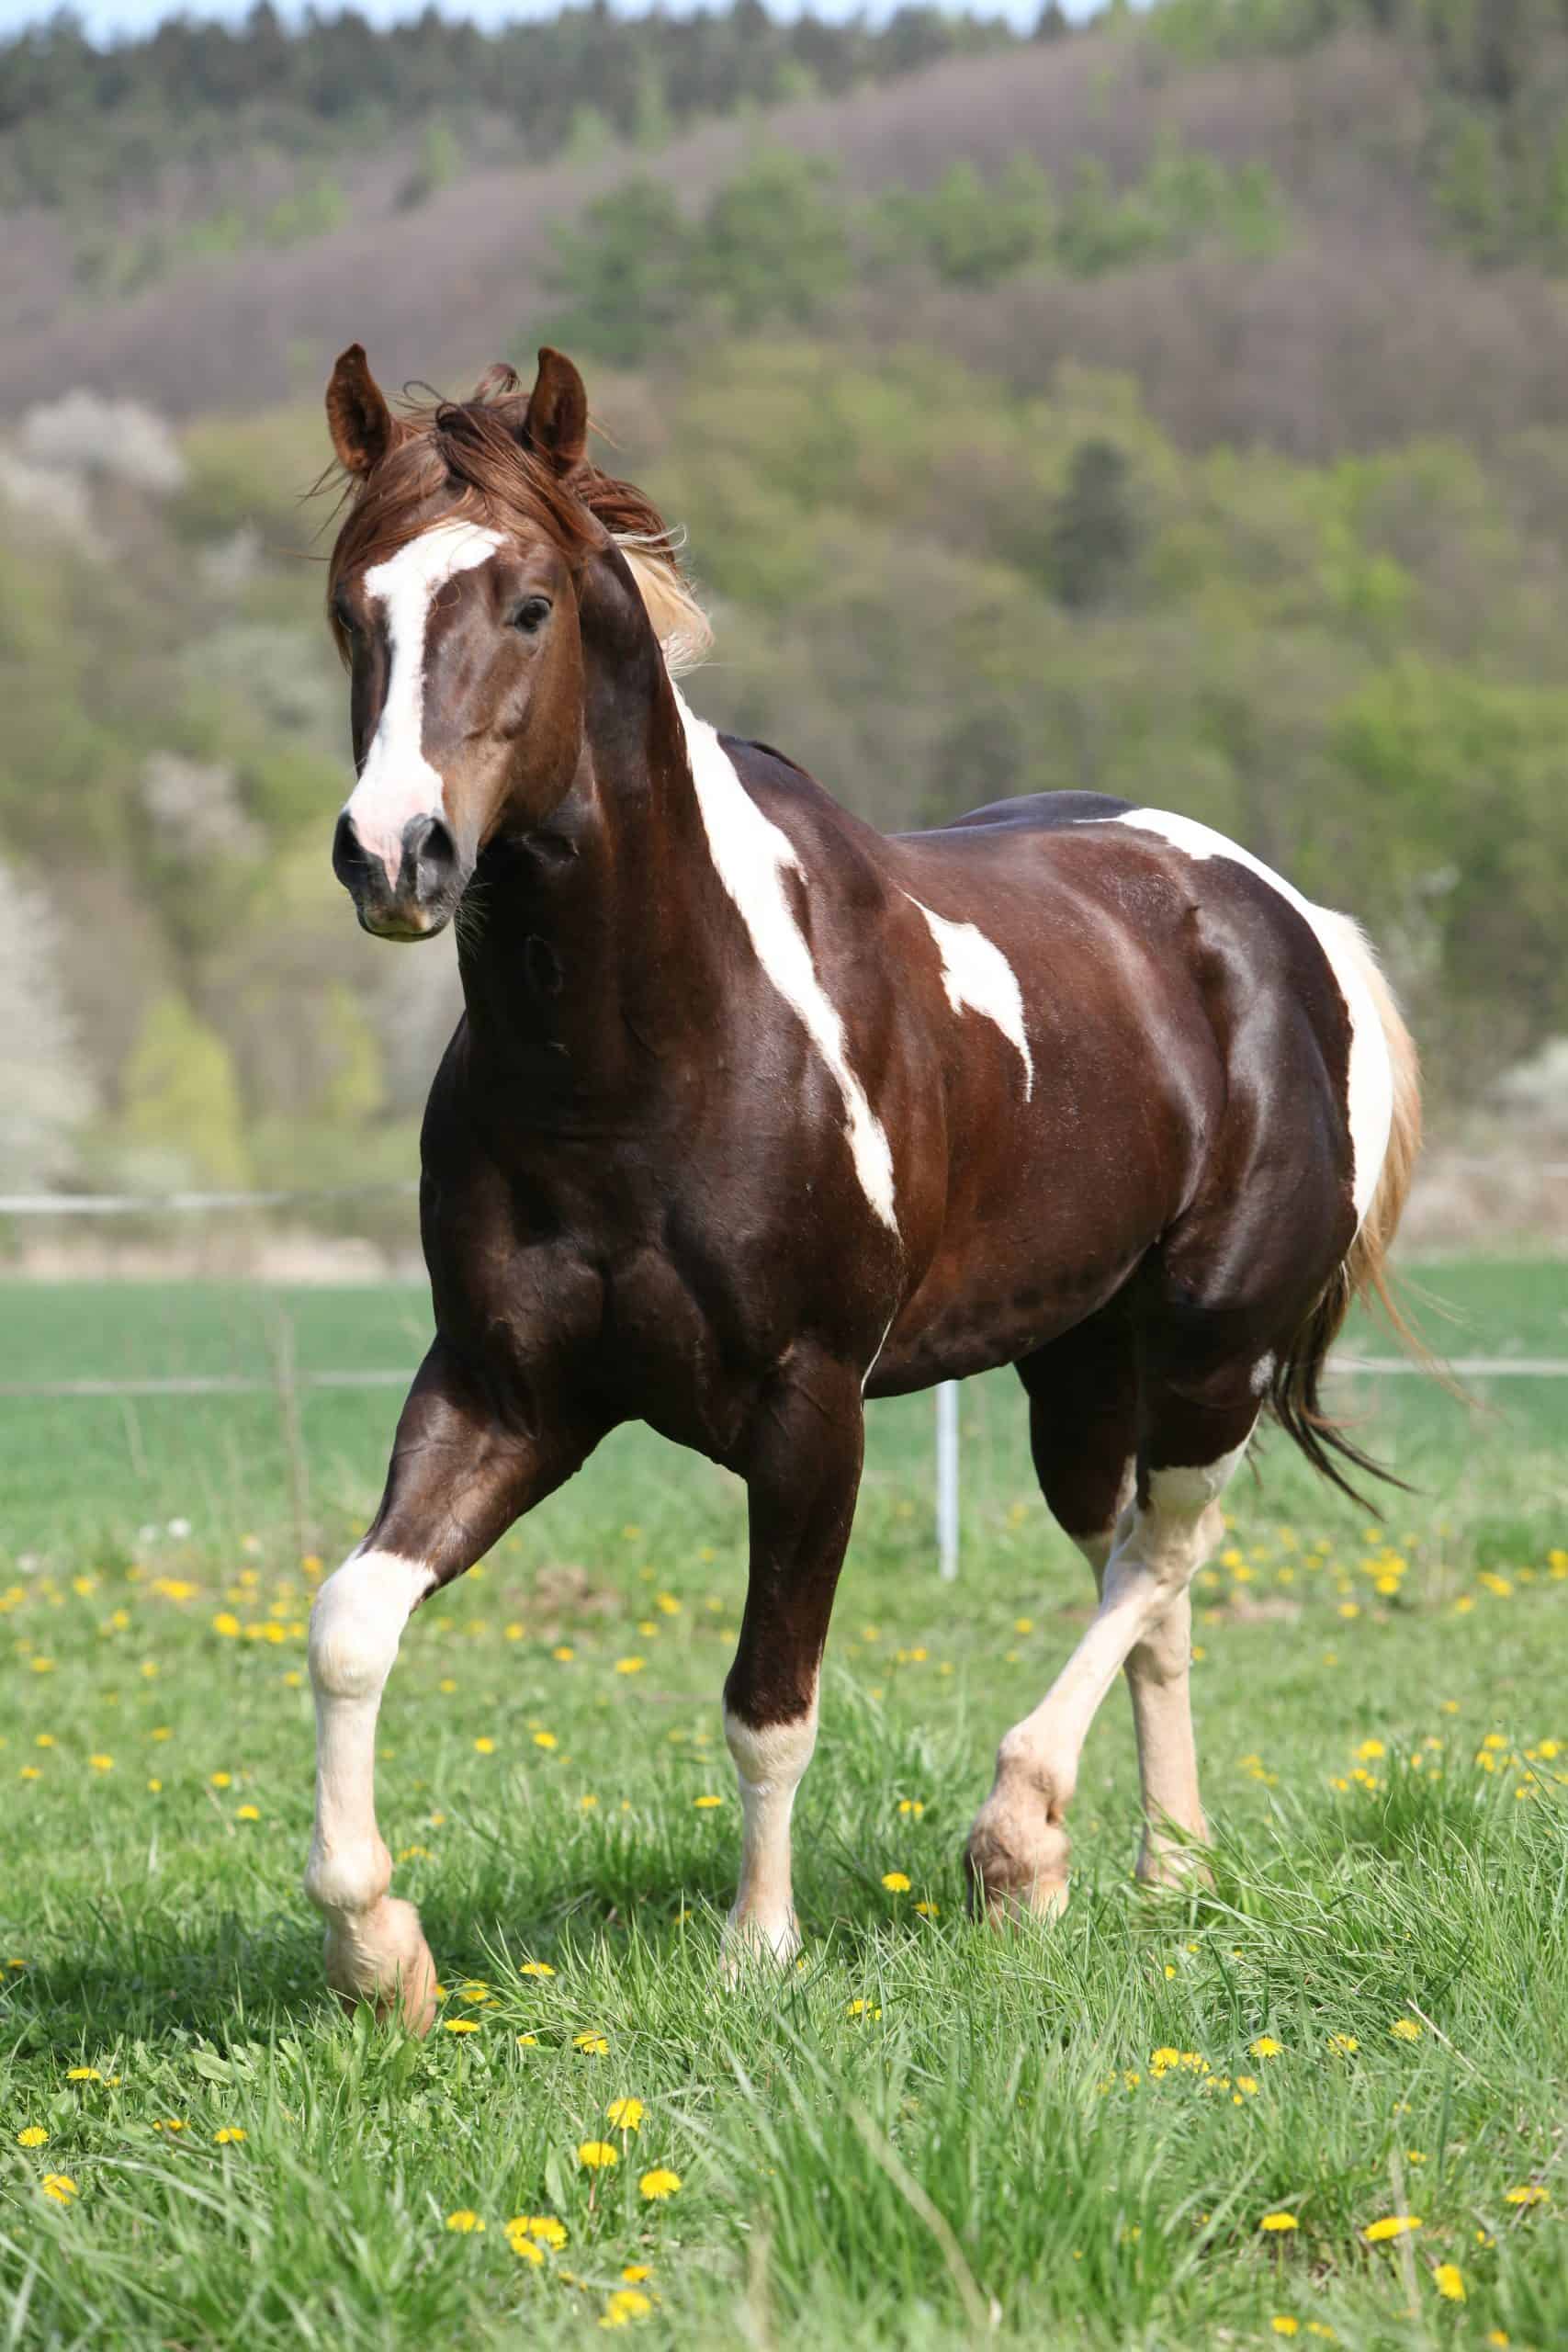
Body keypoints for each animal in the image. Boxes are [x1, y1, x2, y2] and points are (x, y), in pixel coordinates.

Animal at [305, 343, 1419, 2022]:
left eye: (528, 605)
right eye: (348, 604)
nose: (395, 856)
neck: (637, 1060)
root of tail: (1284, 921)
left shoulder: (807, 1405)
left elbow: (770, 1694)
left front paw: (756, 1948)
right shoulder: (507, 1391)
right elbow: (351, 1623)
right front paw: (379, 1949)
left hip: (1209, 1345)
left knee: (1162, 1553)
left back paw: (1020, 1839)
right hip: (1076, 1368)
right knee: (1139, 1580)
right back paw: (1162, 1865)